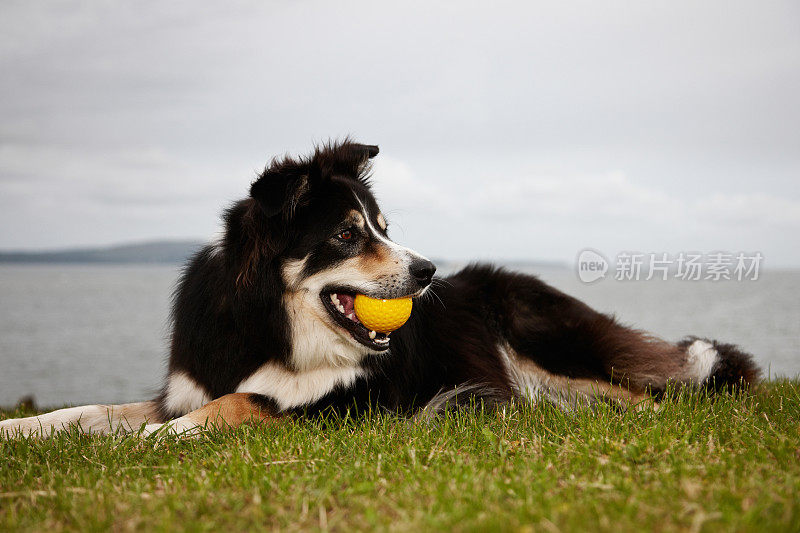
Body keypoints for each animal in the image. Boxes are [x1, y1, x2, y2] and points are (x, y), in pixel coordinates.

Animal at [0, 141, 760, 436]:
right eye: (345, 234)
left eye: (384, 228)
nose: (427, 273)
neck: (269, 326)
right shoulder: (183, 383)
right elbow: (87, 411)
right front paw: (21, 428)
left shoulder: (345, 405)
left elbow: (246, 401)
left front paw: (164, 439)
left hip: (553, 340)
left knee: (652, 389)